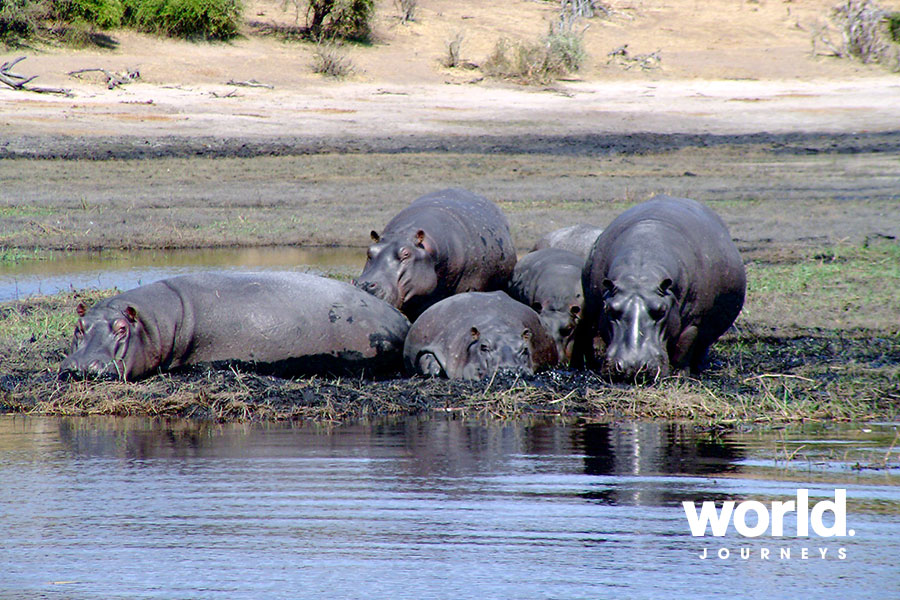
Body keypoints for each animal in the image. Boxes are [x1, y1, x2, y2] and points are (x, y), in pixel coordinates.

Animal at [584, 195, 744, 382]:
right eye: (610, 309)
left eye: (661, 311)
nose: (633, 366)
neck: (640, 274)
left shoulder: (693, 321)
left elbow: (684, 346)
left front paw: (680, 375)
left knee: (700, 347)